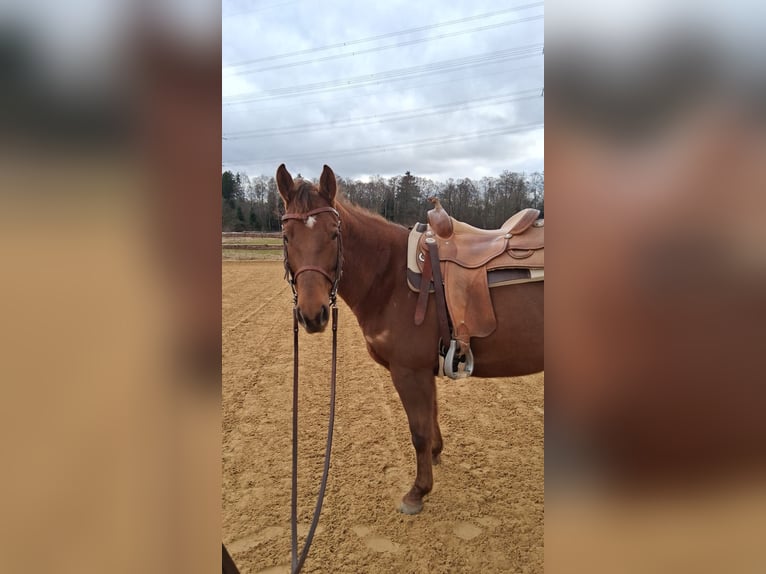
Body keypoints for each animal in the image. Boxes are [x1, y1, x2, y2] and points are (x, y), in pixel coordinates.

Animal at [277, 163, 544, 514]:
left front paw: (418, 491)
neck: (389, 277)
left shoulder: (408, 372)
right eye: (286, 236)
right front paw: (436, 454)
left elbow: (418, 431)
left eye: (334, 234)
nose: (312, 315)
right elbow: (431, 418)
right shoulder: (426, 371)